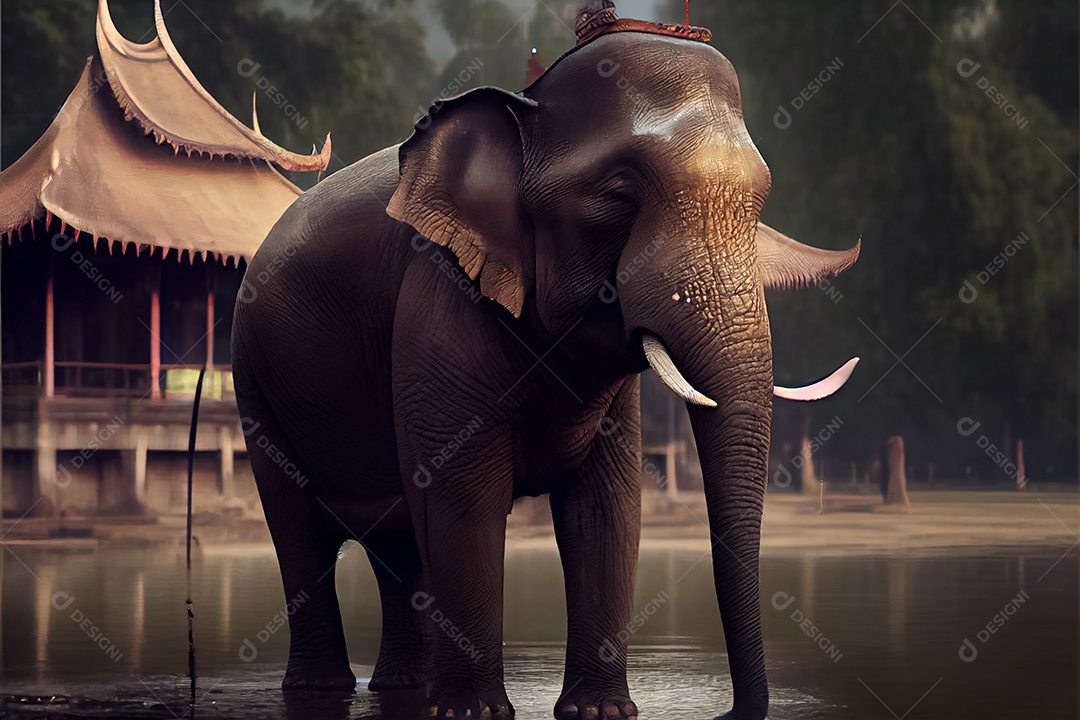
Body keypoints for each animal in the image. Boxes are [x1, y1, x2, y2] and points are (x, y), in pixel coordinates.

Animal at [230, 2, 859, 719]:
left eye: (760, 207)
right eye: (619, 196)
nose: (725, 710)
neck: (523, 109)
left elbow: (606, 510)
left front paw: (598, 712)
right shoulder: (439, 300)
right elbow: (464, 501)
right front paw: (475, 714)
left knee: (400, 543)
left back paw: (405, 689)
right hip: (252, 381)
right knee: (301, 532)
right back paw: (323, 689)